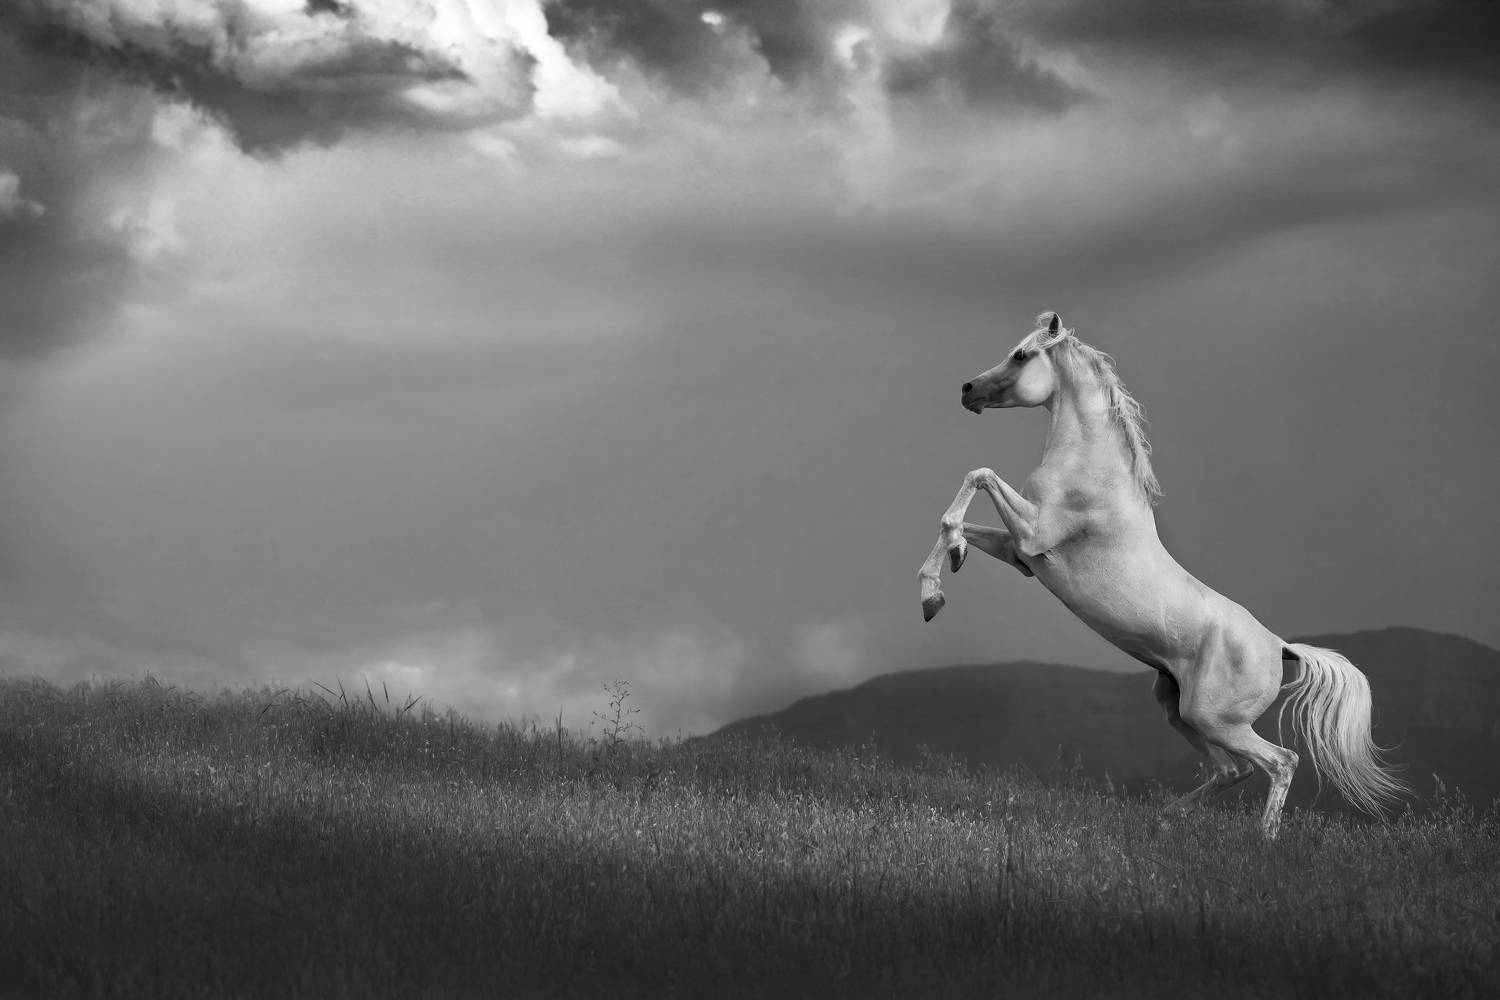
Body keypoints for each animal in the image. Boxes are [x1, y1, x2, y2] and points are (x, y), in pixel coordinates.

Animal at [917, 311, 1403, 840]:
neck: (1091, 470)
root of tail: (1280, 646)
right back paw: (1168, 818)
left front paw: (934, 588)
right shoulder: (1022, 556)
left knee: (1280, 762)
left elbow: (977, 476)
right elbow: (959, 523)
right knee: (1233, 769)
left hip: (1215, 717)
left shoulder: (1032, 535)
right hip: (1179, 710)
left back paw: (1265, 839)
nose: (968, 390)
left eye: (1021, 355)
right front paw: (940, 583)